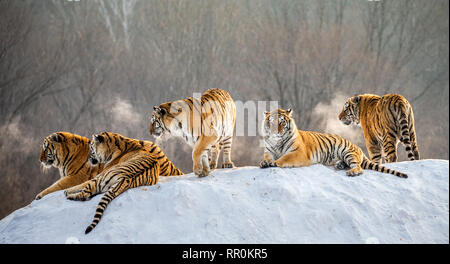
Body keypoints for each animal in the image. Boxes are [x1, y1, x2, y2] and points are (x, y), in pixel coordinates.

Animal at [260, 108, 408, 178]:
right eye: (271, 122)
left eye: (281, 122)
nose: (275, 131)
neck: (277, 142)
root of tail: (358, 148)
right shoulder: (269, 151)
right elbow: (267, 157)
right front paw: (264, 162)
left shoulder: (298, 153)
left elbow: (284, 158)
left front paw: (274, 163)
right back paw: (340, 165)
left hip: (347, 152)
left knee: (359, 167)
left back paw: (352, 172)